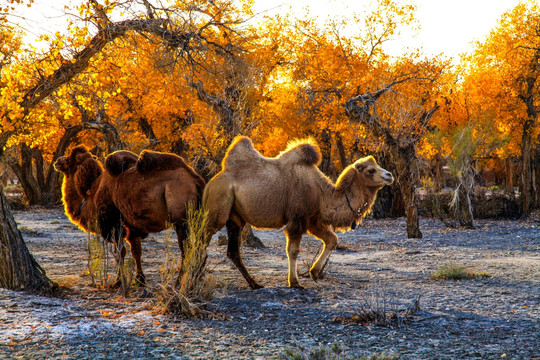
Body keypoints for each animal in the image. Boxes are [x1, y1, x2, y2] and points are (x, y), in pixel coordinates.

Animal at [202, 136, 392, 290]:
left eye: (376, 165)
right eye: (371, 170)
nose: (389, 175)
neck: (322, 194)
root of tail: (211, 183)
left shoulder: (313, 220)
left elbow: (332, 240)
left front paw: (314, 273)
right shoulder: (298, 217)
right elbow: (293, 250)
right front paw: (294, 282)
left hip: (235, 217)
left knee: (233, 251)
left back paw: (255, 284)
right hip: (219, 205)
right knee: (203, 237)